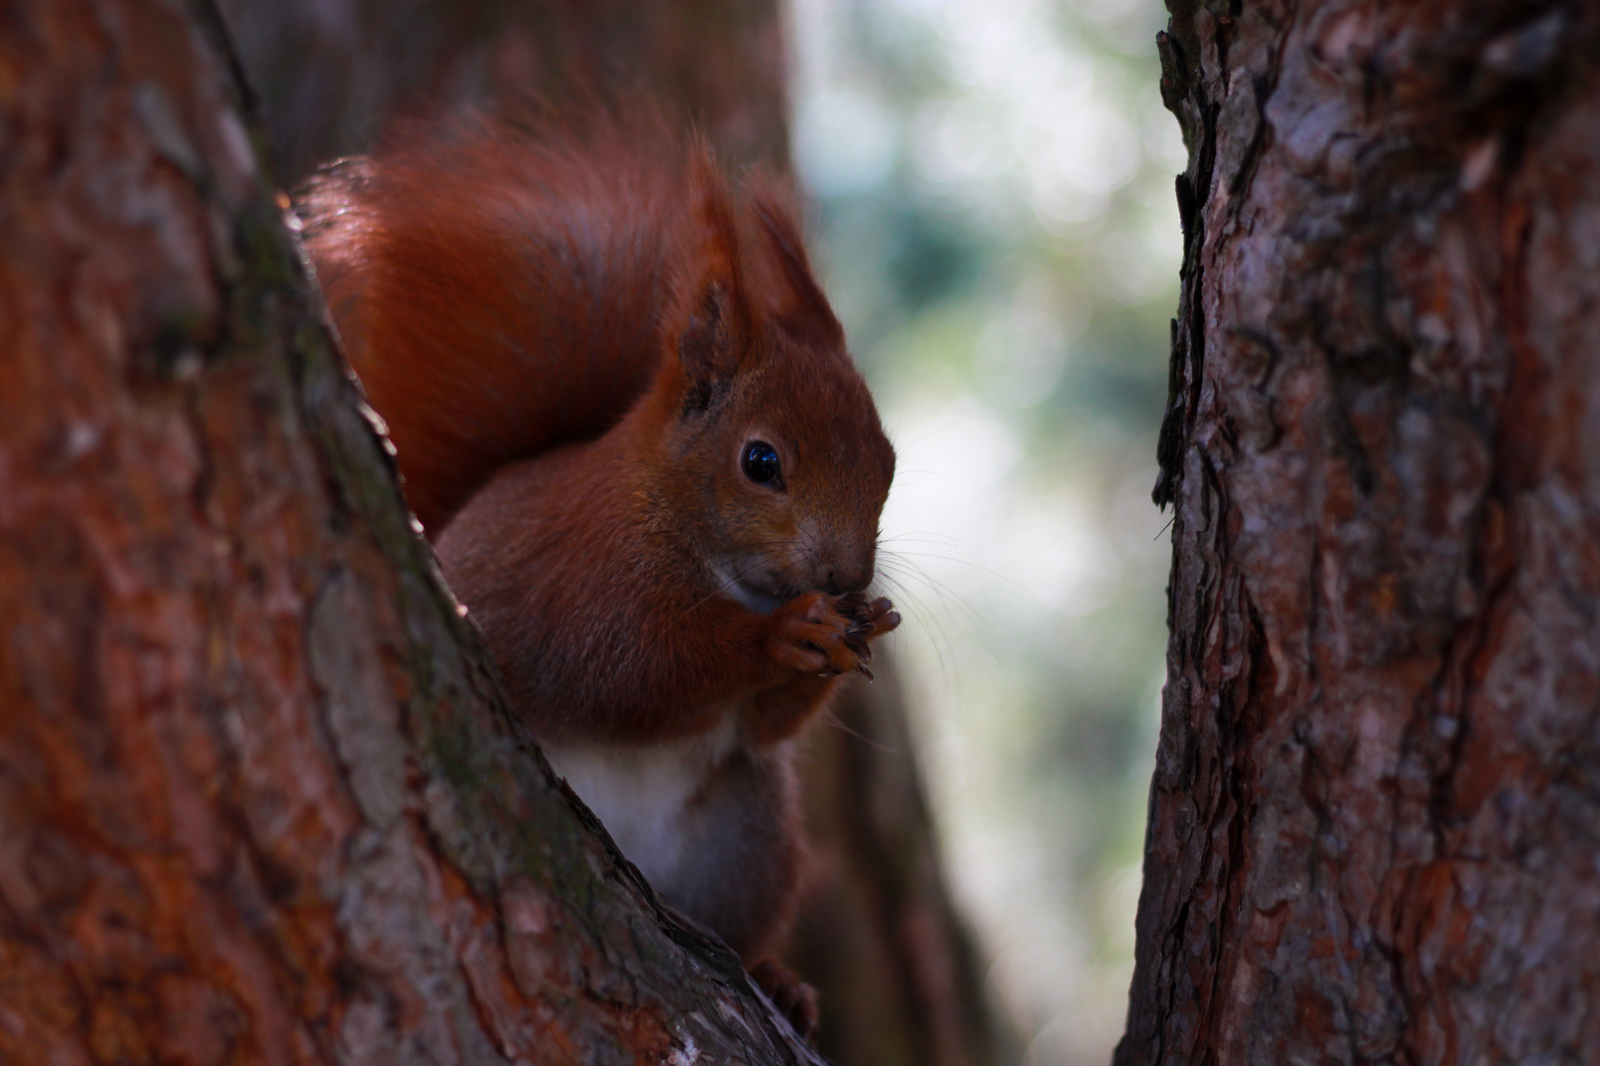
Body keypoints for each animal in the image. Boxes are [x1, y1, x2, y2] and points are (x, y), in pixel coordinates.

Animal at [297, 114, 902, 1024]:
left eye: (888, 459)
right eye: (760, 461)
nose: (843, 576)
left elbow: (762, 728)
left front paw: (868, 625)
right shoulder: (586, 585)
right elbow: (632, 672)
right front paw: (784, 637)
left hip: (747, 840)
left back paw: (777, 980)